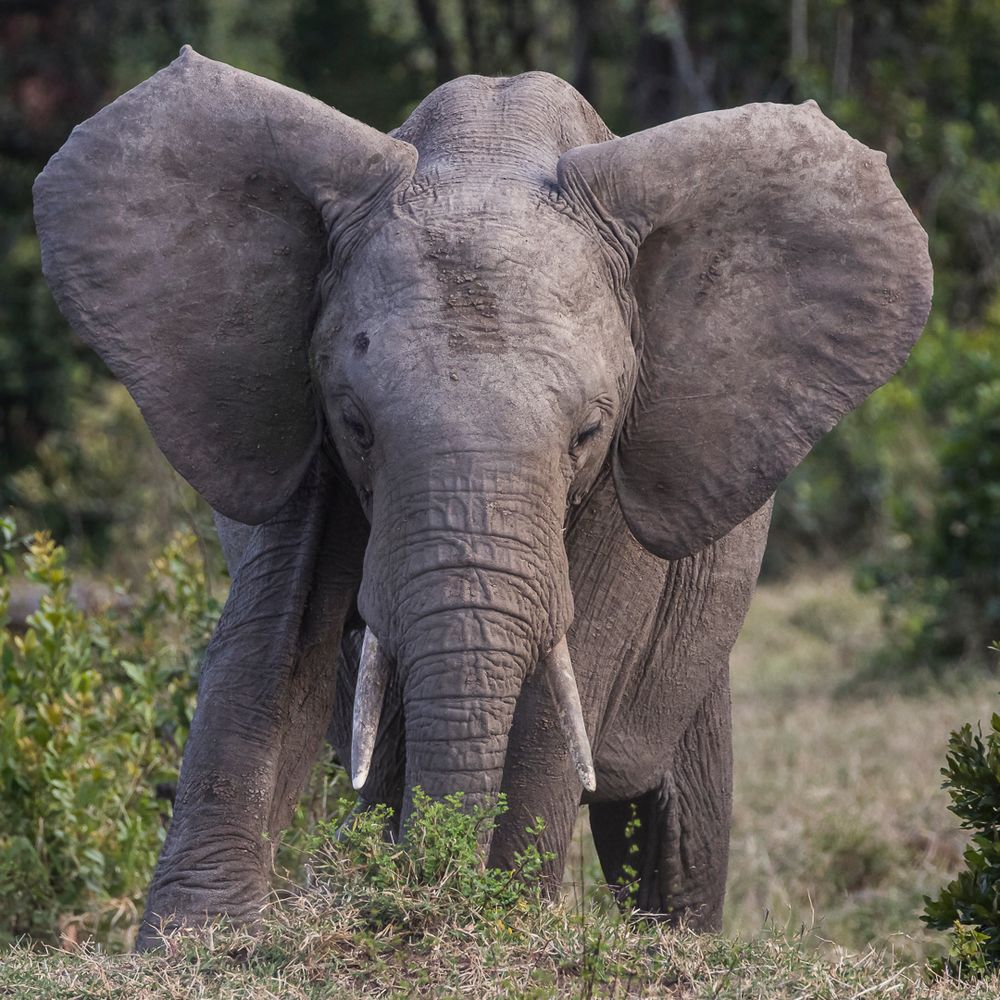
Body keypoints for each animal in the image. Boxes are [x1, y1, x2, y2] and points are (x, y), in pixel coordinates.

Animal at [35, 47, 932, 940]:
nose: (430, 889)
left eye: (587, 433)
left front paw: (503, 918)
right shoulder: (291, 422)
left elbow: (566, 678)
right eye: (356, 424)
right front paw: (200, 939)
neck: (489, 150)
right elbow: (274, 636)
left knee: (677, 820)